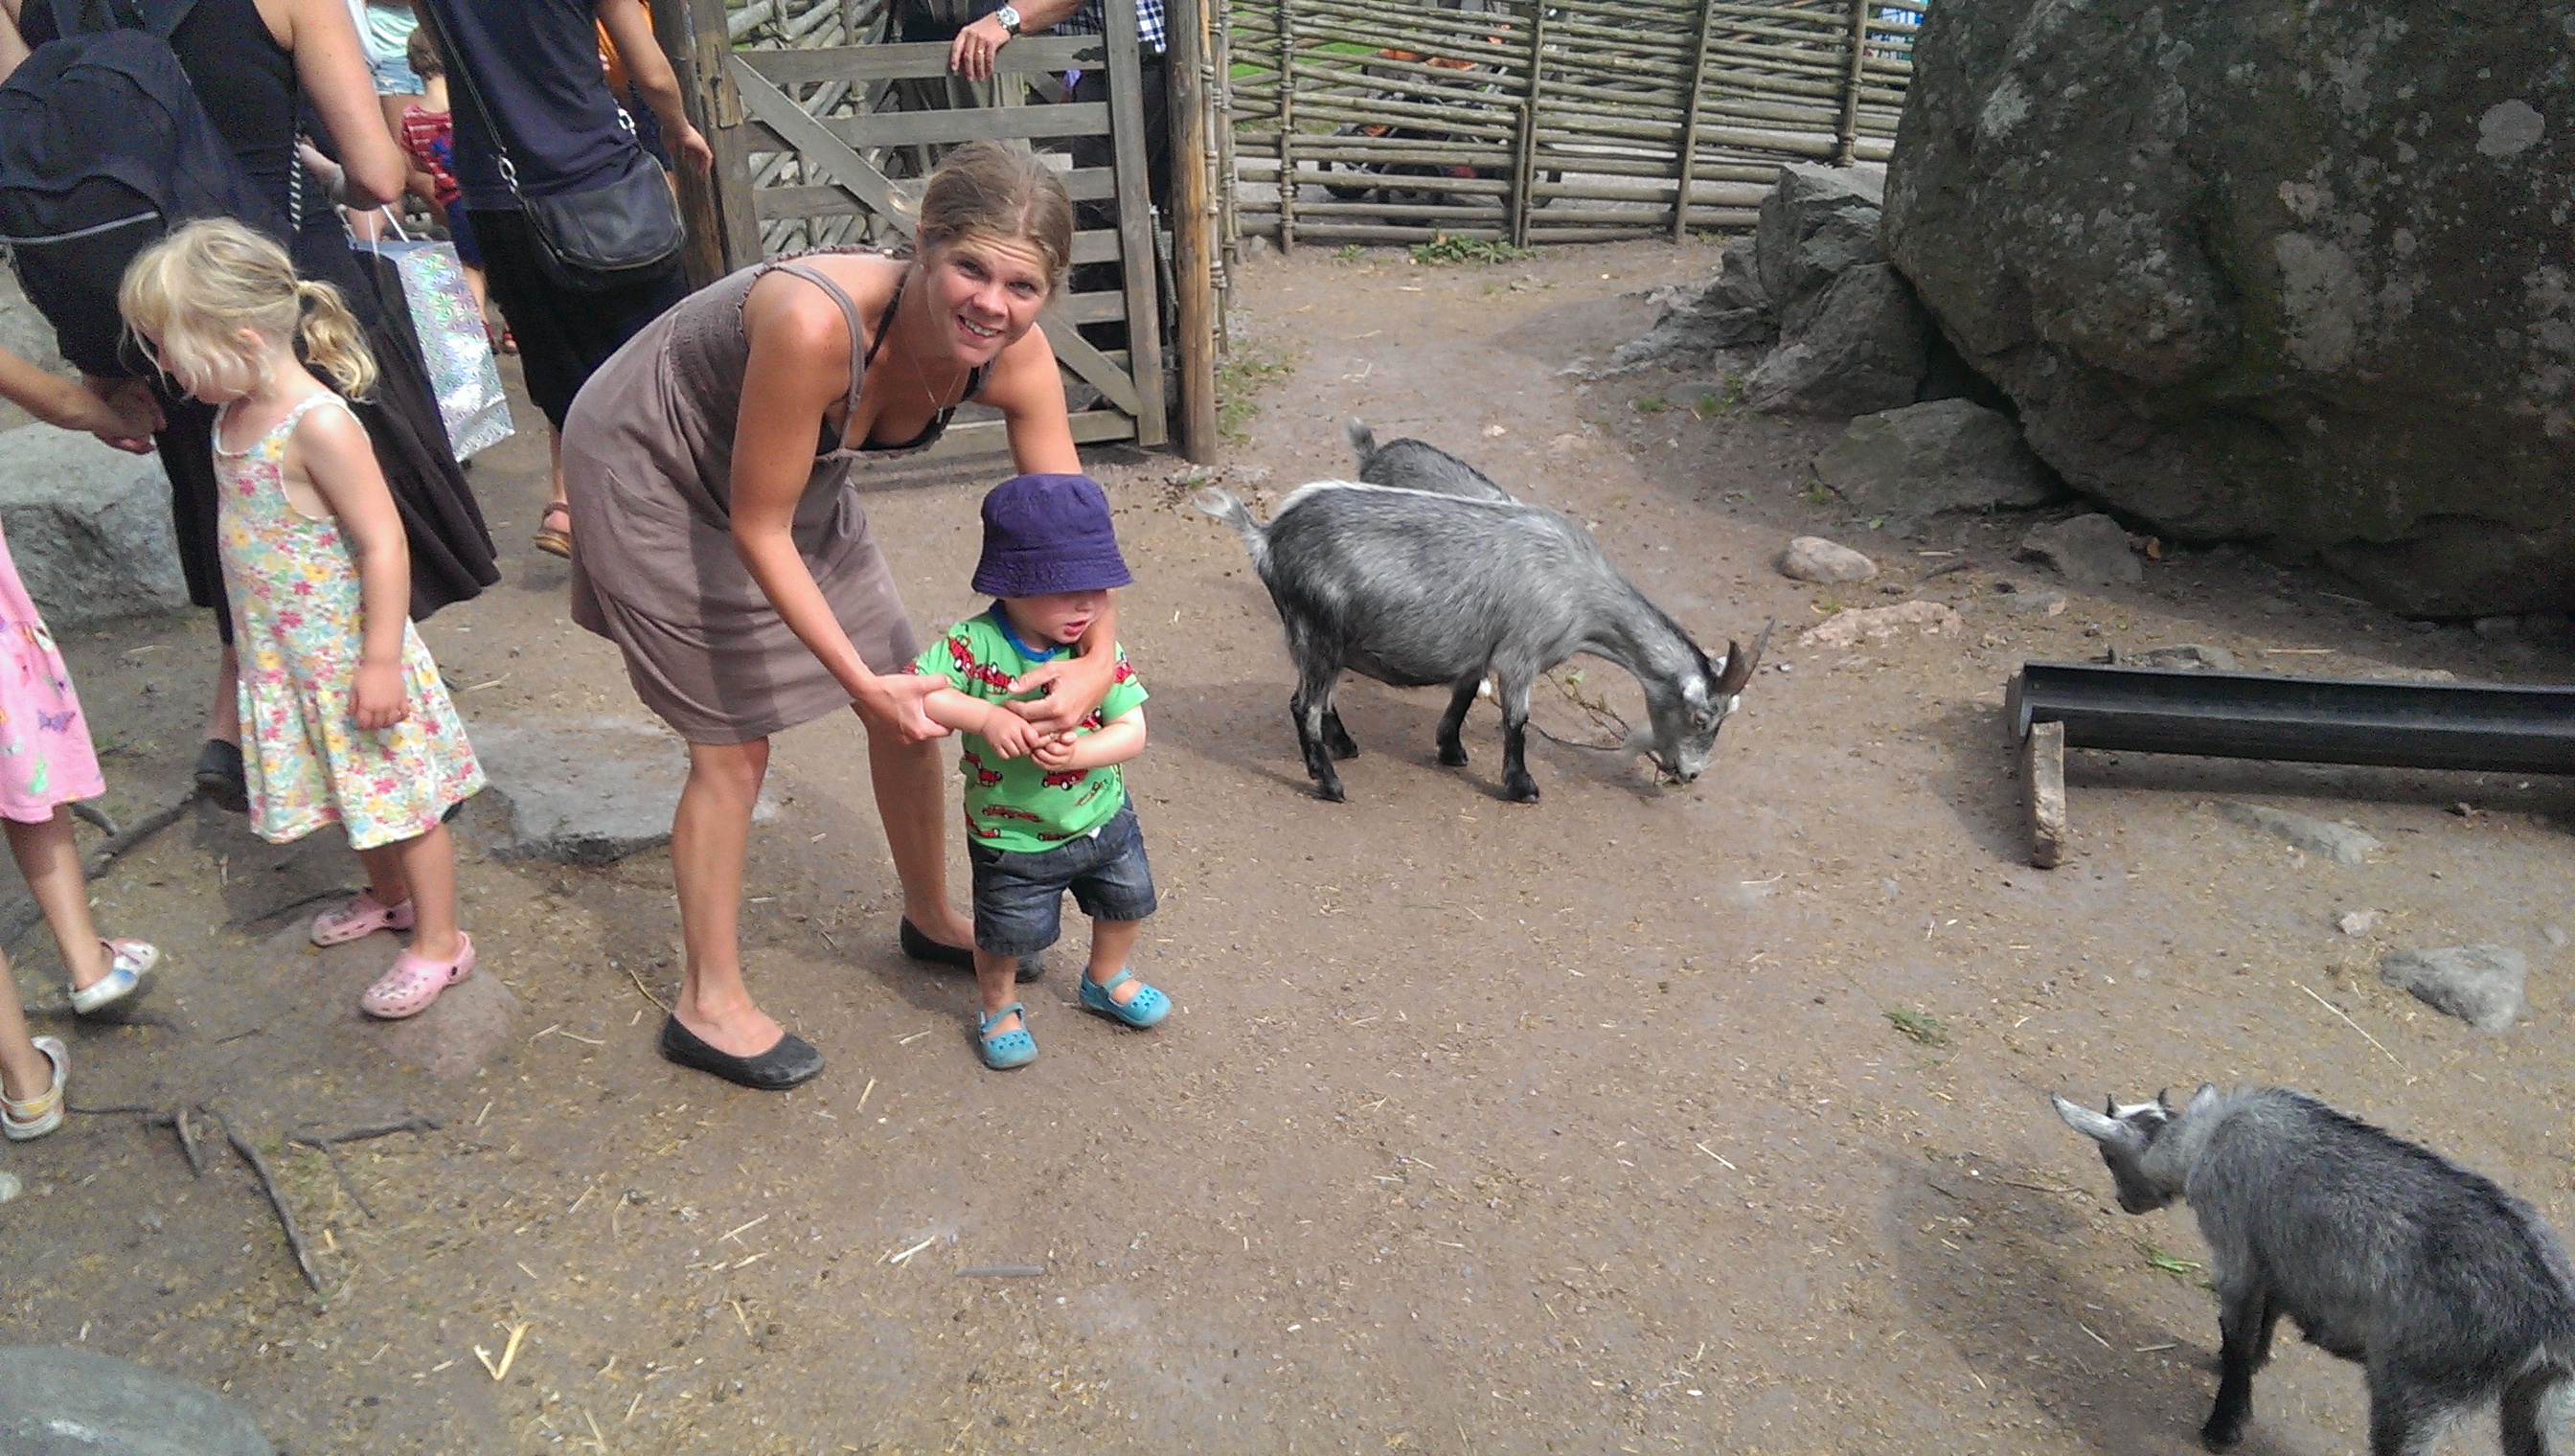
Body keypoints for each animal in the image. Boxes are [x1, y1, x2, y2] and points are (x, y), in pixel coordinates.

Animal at [1197, 480, 1768, 803]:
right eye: (1701, 718)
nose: (1690, 774)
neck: (1580, 591)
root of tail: (1266, 537)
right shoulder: (1519, 657)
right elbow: (1517, 723)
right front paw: (1521, 787)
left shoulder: (1479, 651)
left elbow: (1465, 695)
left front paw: (1451, 750)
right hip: (1317, 631)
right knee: (1303, 706)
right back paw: (1330, 783)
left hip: (1320, 642)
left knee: (1323, 698)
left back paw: (1345, 746)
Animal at [2054, 1085, 2575, 1455]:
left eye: (2107, 1154)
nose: (2124, 1201)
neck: (2204, 1140)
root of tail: (2550, 1316)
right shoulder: (2273, 1262)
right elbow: (2263, 1322)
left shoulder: (2235, 1253)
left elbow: (2237, 1335)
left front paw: (2222, 1429)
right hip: (2538, 1403)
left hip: (2418, 1393)